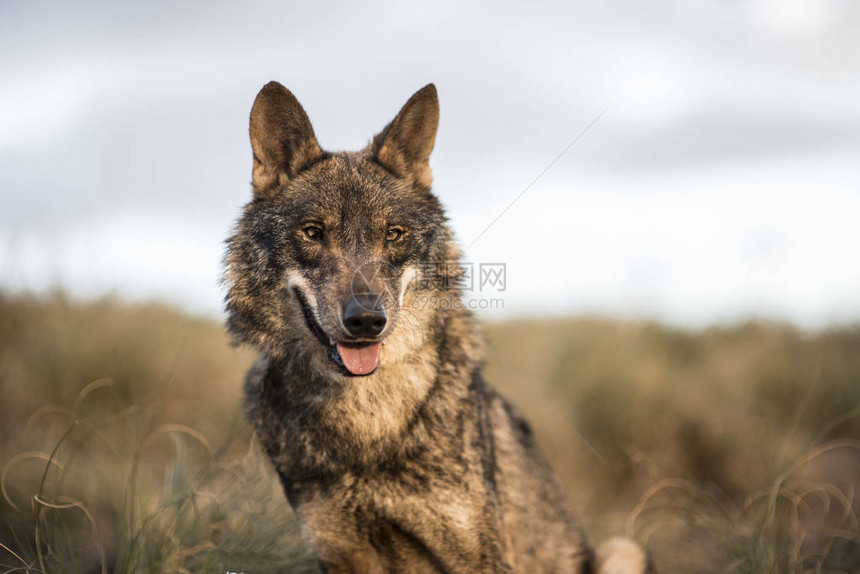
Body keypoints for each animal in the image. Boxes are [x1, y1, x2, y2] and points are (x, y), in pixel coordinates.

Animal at [222, 81, 652, 574]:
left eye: (393, 234)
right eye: (313, 233)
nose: (367, 320)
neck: (367, 420)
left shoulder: (476, 556)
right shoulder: (342, 554)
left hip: (624, 550)